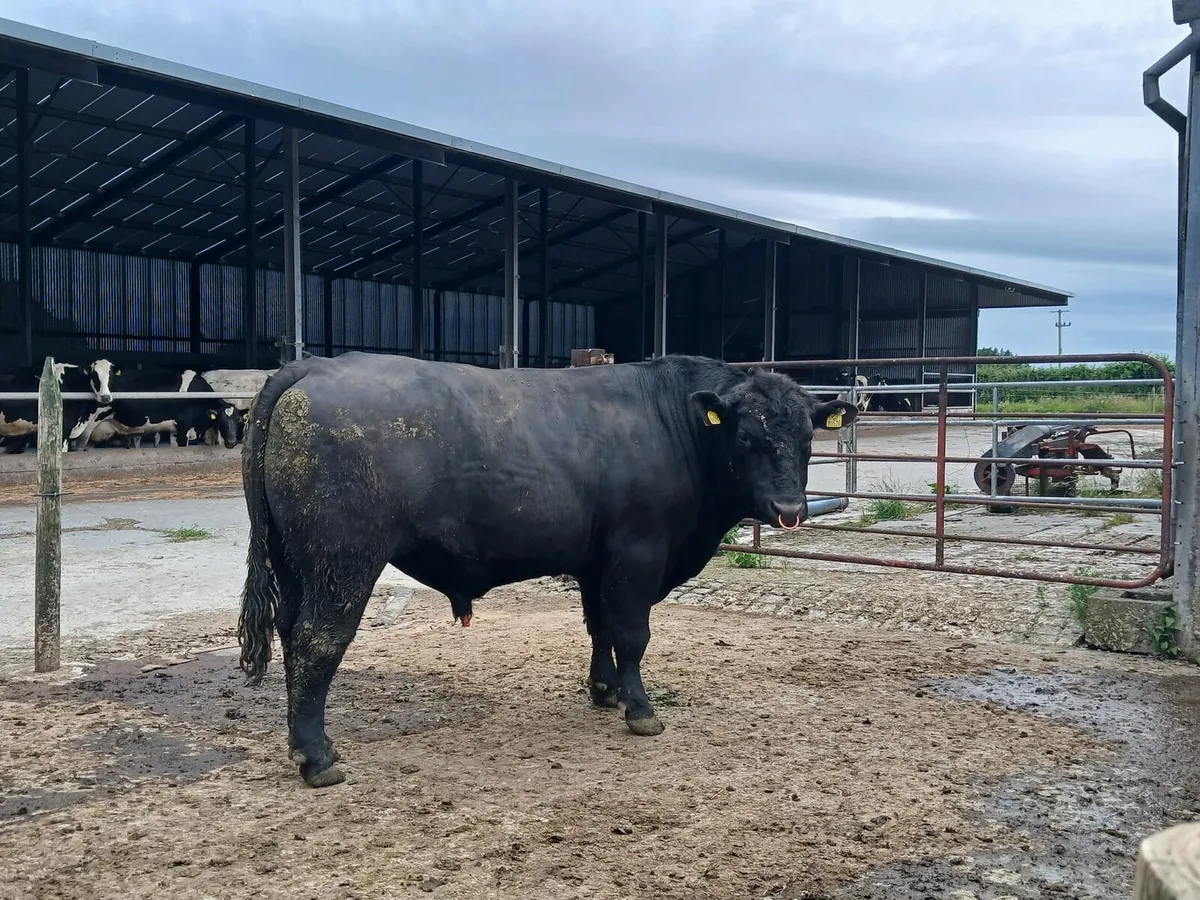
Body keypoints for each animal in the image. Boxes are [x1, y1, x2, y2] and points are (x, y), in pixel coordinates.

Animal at [236, 352, 858, 787]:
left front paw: (606, 691)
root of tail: (314, 364)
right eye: (747, 437)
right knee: (317, 642)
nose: (790, 509)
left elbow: (600, 627)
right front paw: (640, 709)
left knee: (291, 635)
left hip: (296, 565)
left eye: (808, 439)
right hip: (343, 562)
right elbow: (632, 634)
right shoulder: (637, 554)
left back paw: (305, 745)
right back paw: (317, 759)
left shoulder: (597, 562)